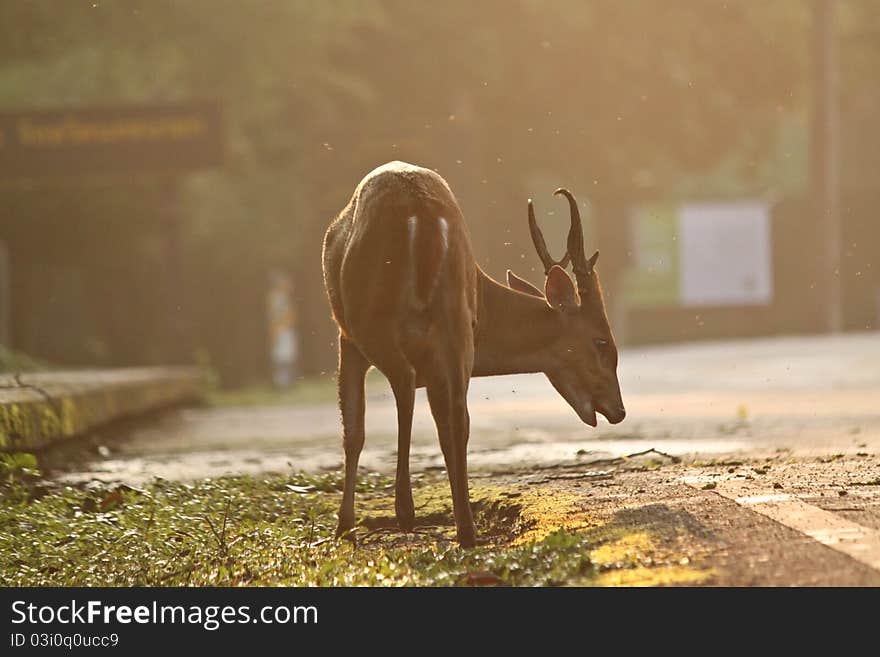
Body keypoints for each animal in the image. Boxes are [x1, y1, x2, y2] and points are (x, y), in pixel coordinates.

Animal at [324, 161, 624, 544]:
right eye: (602, 342)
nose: (619, 410)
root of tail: (421, 214)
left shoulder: (346, 338)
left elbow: (354, 432)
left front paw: (344, 527)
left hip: (373, 320)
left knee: (406, 387)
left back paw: (407, 513)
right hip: (454, 321)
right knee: (455, 419)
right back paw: (465, 529)